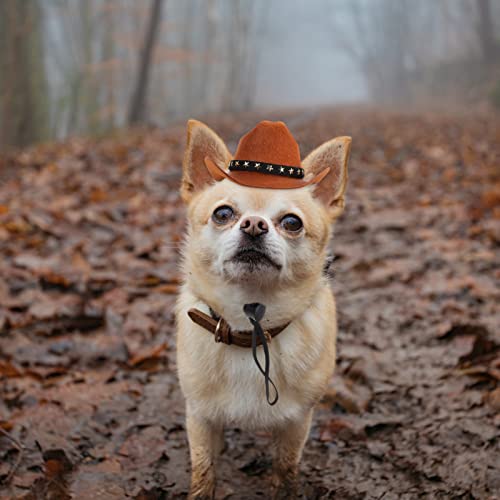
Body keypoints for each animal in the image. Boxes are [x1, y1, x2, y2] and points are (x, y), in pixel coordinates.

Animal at [177, 119, 352, 498]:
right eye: (223, 214)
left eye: (292, 222)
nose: (255, 224)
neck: (250, 325)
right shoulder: (200, 418)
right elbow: (203, 471)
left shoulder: (296, 423)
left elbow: (285, 468)